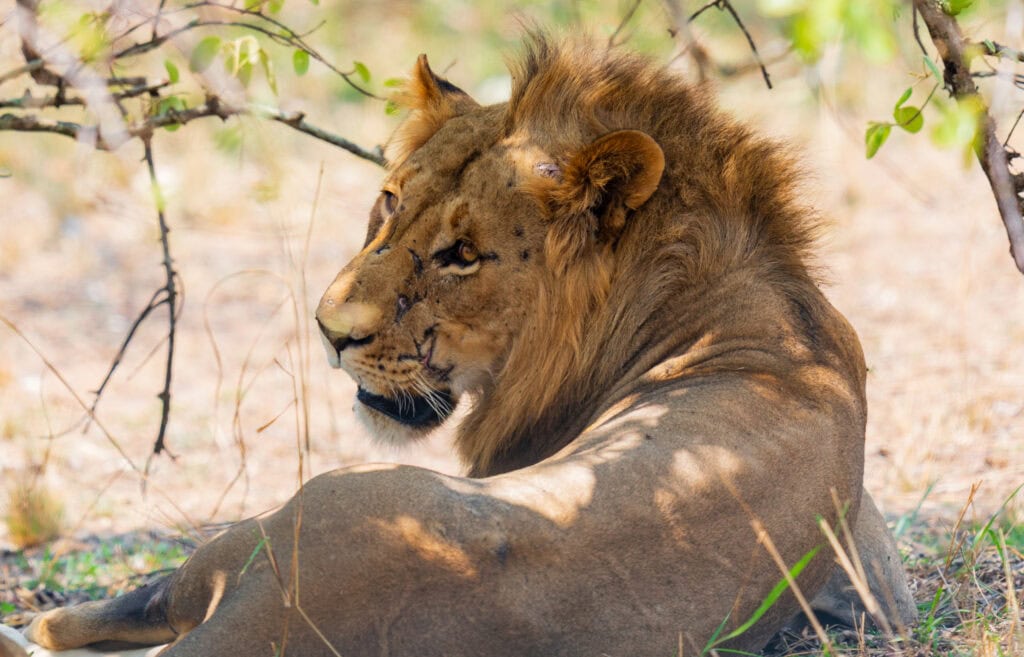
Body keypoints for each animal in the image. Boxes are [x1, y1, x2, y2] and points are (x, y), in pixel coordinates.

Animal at [6, 36, 915, 657]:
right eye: (388, 202)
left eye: (462, 254)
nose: (330, 331)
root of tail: (282, 615)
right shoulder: (877, 577)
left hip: (277, 521)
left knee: (71, 620)